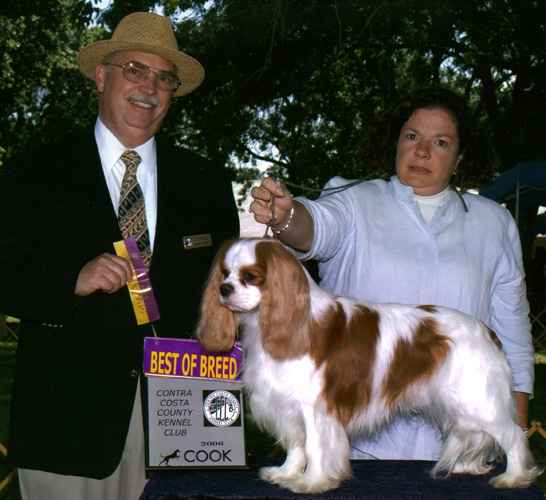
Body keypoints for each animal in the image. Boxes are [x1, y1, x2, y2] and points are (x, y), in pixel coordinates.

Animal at [194, 238, 536, 492]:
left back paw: (514, 477)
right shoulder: (287, 403)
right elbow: (295, 444)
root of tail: (488, 332)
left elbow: (315, 446)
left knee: (513, 435)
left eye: (249, 276)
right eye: (224, 273)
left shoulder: (315, 406)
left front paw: (311, 482)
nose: (224, 289)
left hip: (477, 398)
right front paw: (287, 473)